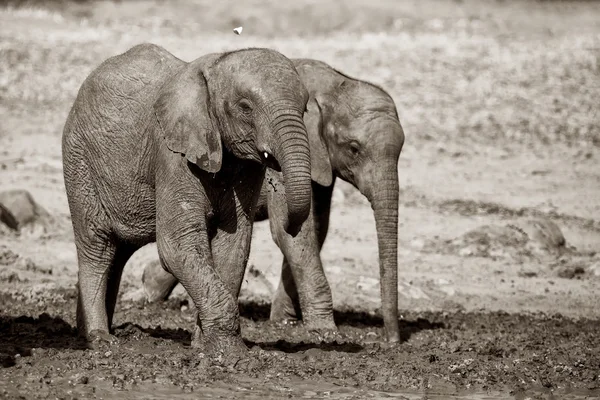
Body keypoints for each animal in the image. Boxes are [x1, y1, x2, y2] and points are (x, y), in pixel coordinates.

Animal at [60, 43, 316, 356]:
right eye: (245, 107)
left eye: (305, 108)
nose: (290, 226)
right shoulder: (172, 153)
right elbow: (177, 243)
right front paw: (230, 353)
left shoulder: (245, 166)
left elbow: (233, 245)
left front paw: (204, 345)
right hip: (79, 159)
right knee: (97, 247)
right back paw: (100, 341)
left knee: (118, 253)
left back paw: (92, 334)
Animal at [141, 57, 406, 342]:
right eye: (354, 148)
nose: (392, 341)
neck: (332, 83)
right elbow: (290, 234)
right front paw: (325, 331)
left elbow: (315, 229)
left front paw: (283, 320)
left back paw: (151, 287)